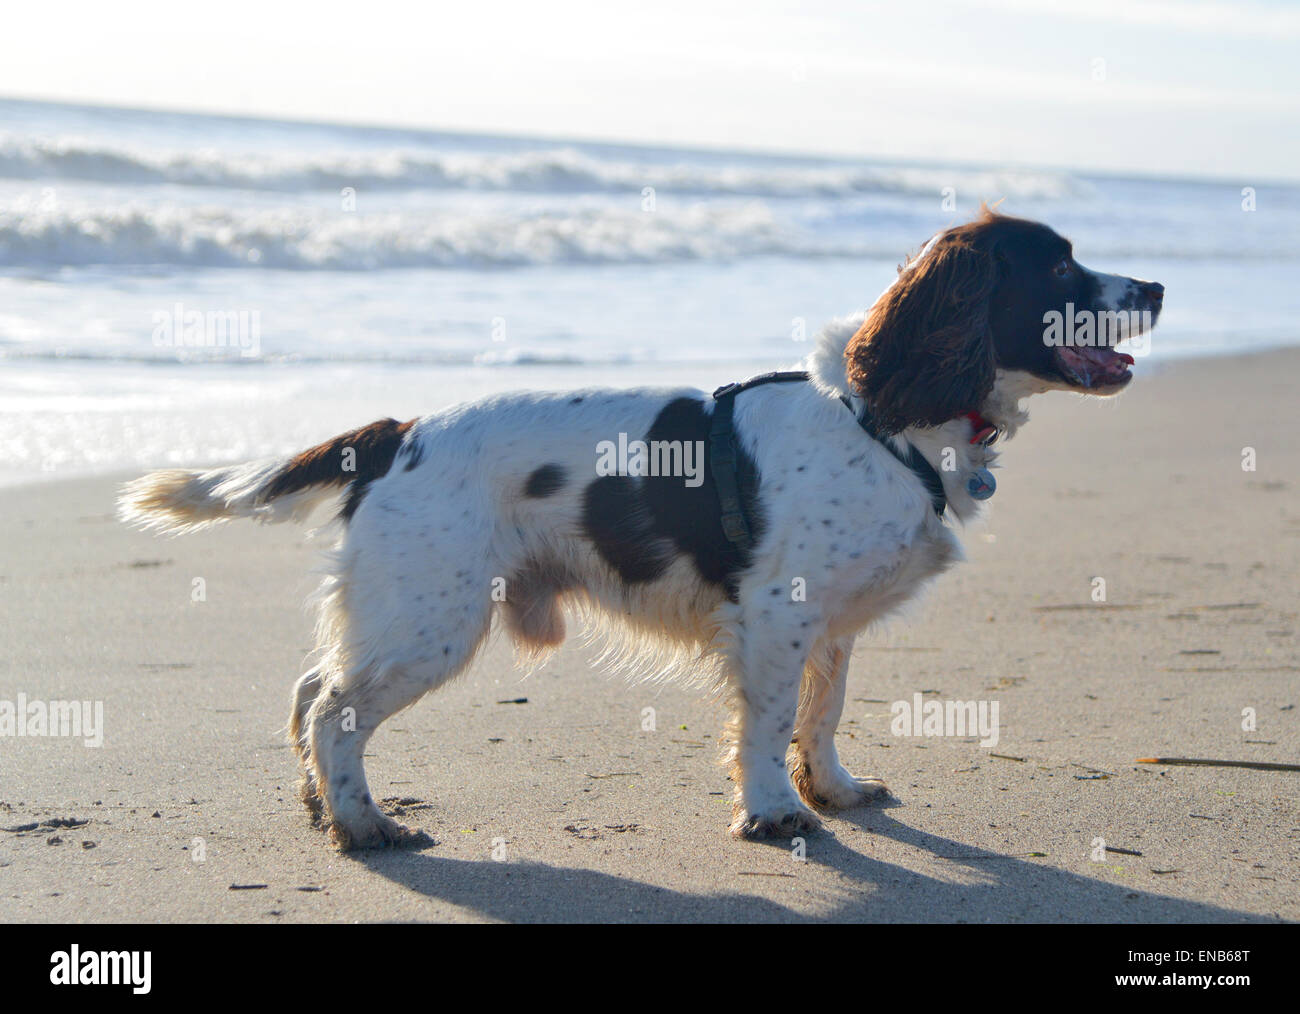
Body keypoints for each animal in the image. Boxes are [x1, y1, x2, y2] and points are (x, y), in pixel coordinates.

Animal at [119, 209, 1159, 852]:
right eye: (1059, 265)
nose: (1152, 285)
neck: (882, 418)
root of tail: (394, 431)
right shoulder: (775, 619)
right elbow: (768, 722)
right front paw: (775, 813)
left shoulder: (829, 627)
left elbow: (820, 715)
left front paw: (833, 790)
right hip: (433, 618)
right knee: (333, 710)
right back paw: (366, 827)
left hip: (398, 610)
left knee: (309, 692)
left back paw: (323, 809)